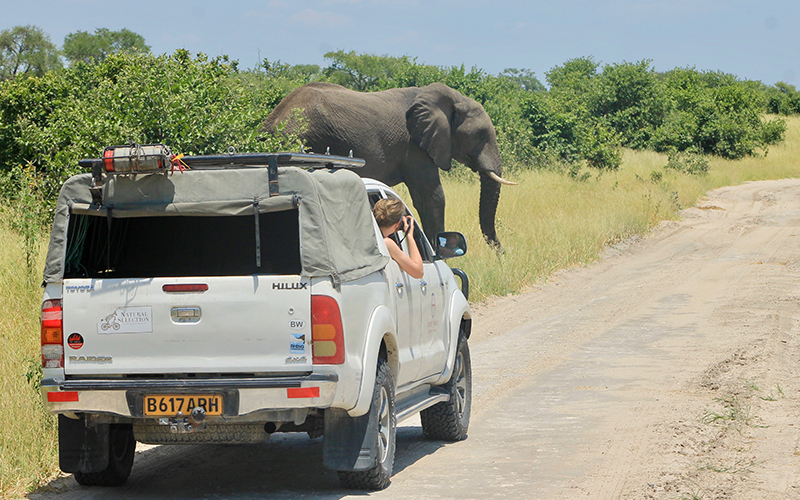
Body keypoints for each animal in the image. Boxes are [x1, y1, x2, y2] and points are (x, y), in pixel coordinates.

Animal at [260, 81, 516, 250]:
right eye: (480, 134)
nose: (502, 254)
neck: (450, 98)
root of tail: (270, 121)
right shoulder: (414, 146)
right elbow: (431, 198)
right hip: (296, 135)